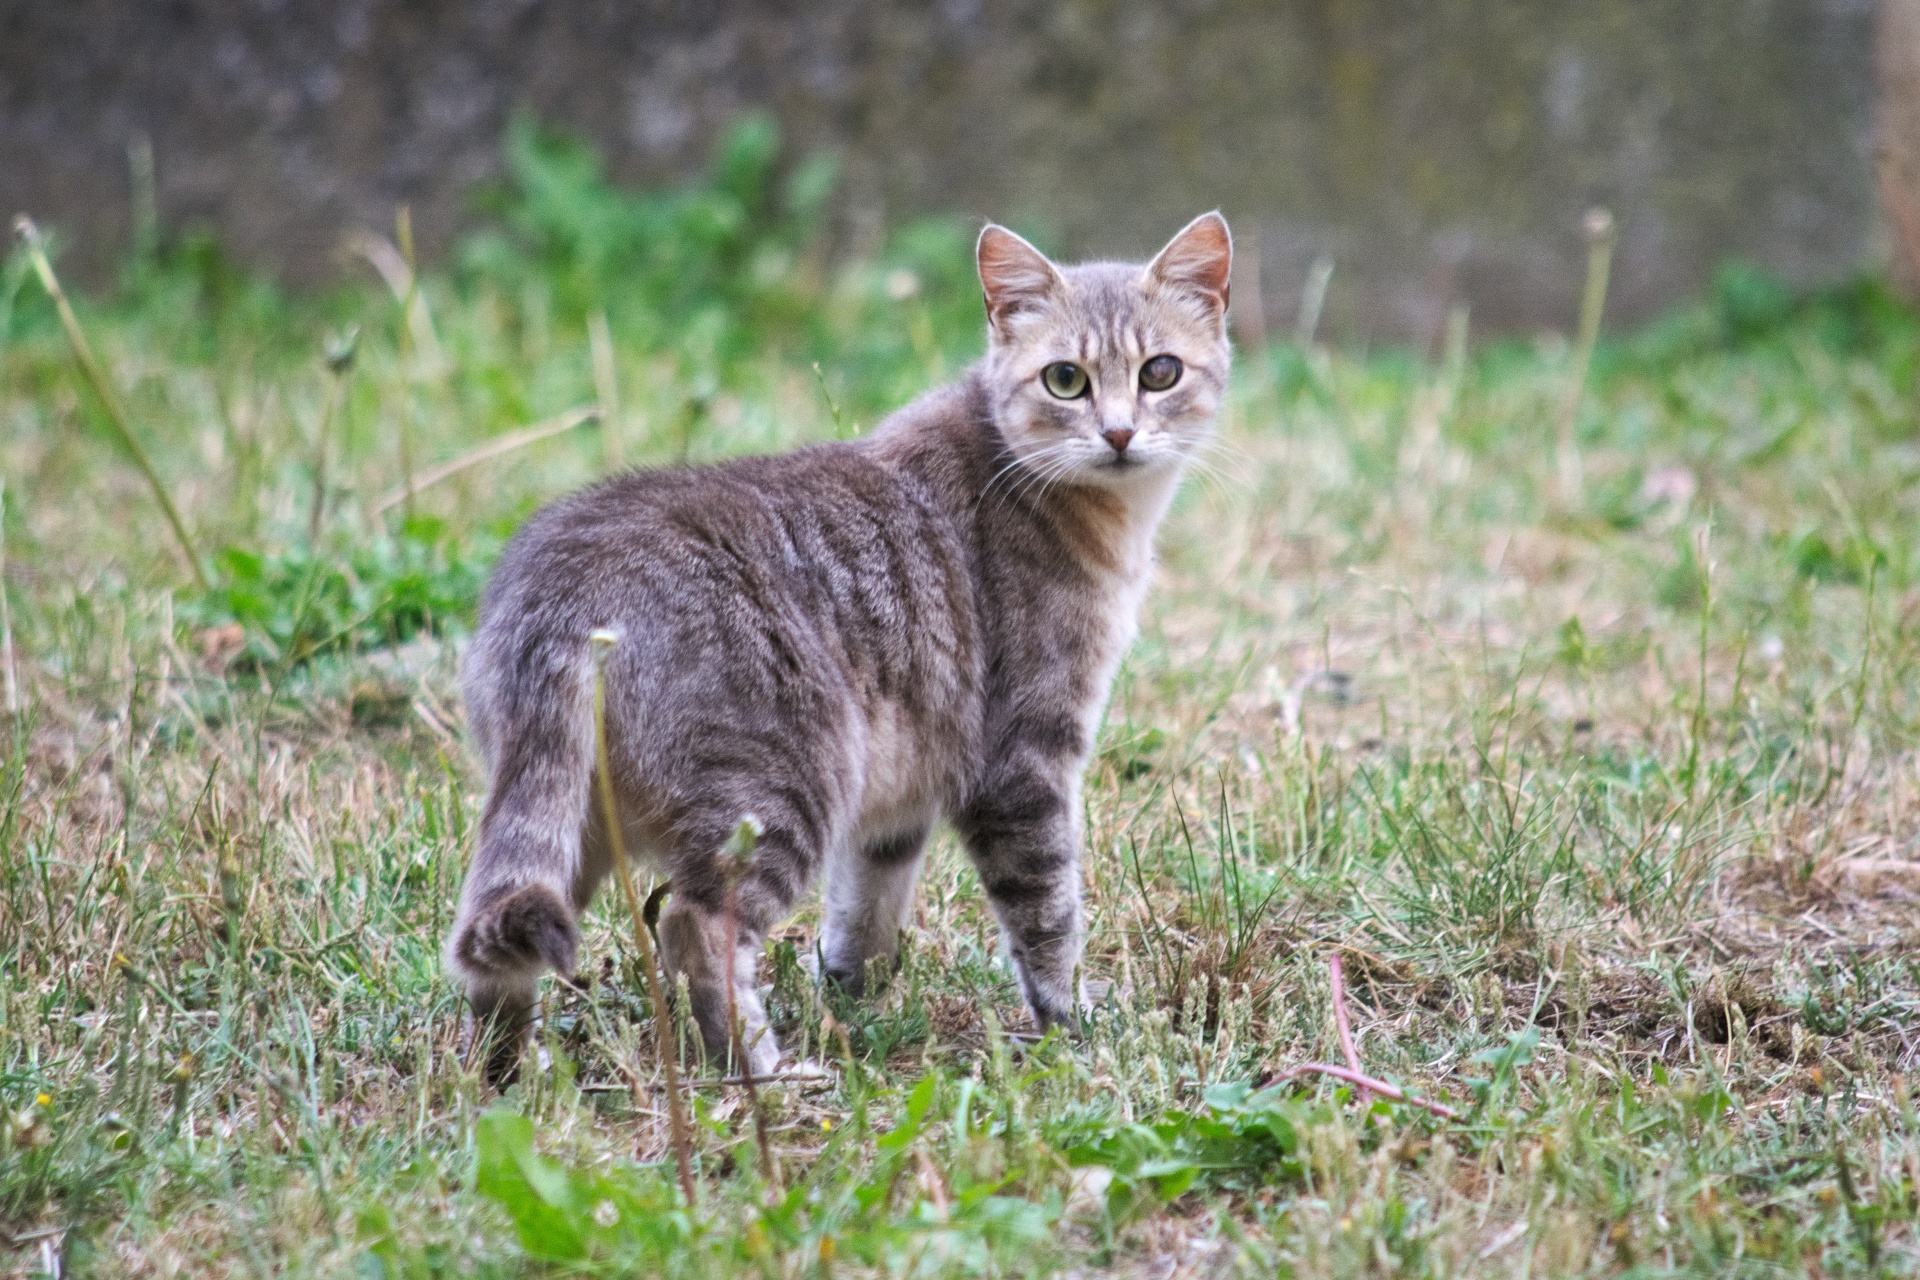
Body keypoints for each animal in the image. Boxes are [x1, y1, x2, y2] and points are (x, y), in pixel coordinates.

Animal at [443, 213, 1236, 1082]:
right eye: (1065, 380)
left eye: (1160, 371)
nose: (1120, 432)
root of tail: (564, 591)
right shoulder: (1022, 764)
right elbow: (1048, 913)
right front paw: (1072, 1022)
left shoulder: (904, 787)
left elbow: (867, 905)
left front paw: (854, 996)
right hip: (780, 786)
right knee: (695, 926)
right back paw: (763, 1072)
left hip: (573, 820)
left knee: (488, 946)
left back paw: (505, 1077)